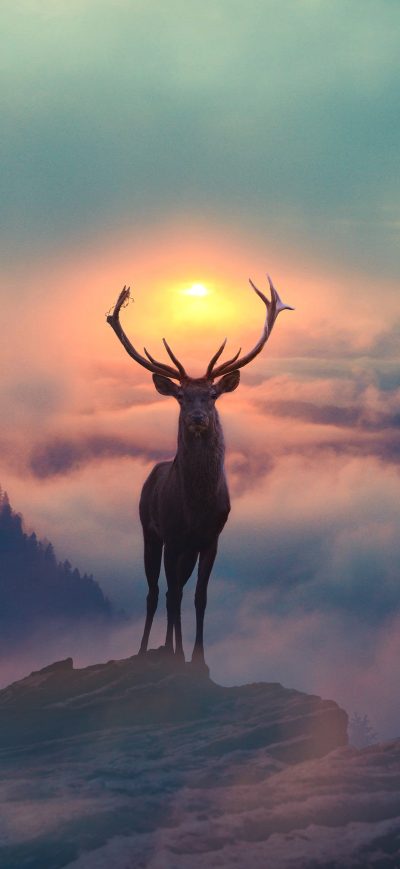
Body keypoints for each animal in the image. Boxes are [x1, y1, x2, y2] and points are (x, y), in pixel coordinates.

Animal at [107, 278, 293, 668]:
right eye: (180, 397)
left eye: (212, 395)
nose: (197, 418)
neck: (197, 507)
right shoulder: (173, 535)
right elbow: (173, 595)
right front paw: (176, 653)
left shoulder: (211, 538)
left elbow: (200, 597)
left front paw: (198, 657)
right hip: (149, 531)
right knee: (155, 592)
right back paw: (148, 648)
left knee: (173, 591)